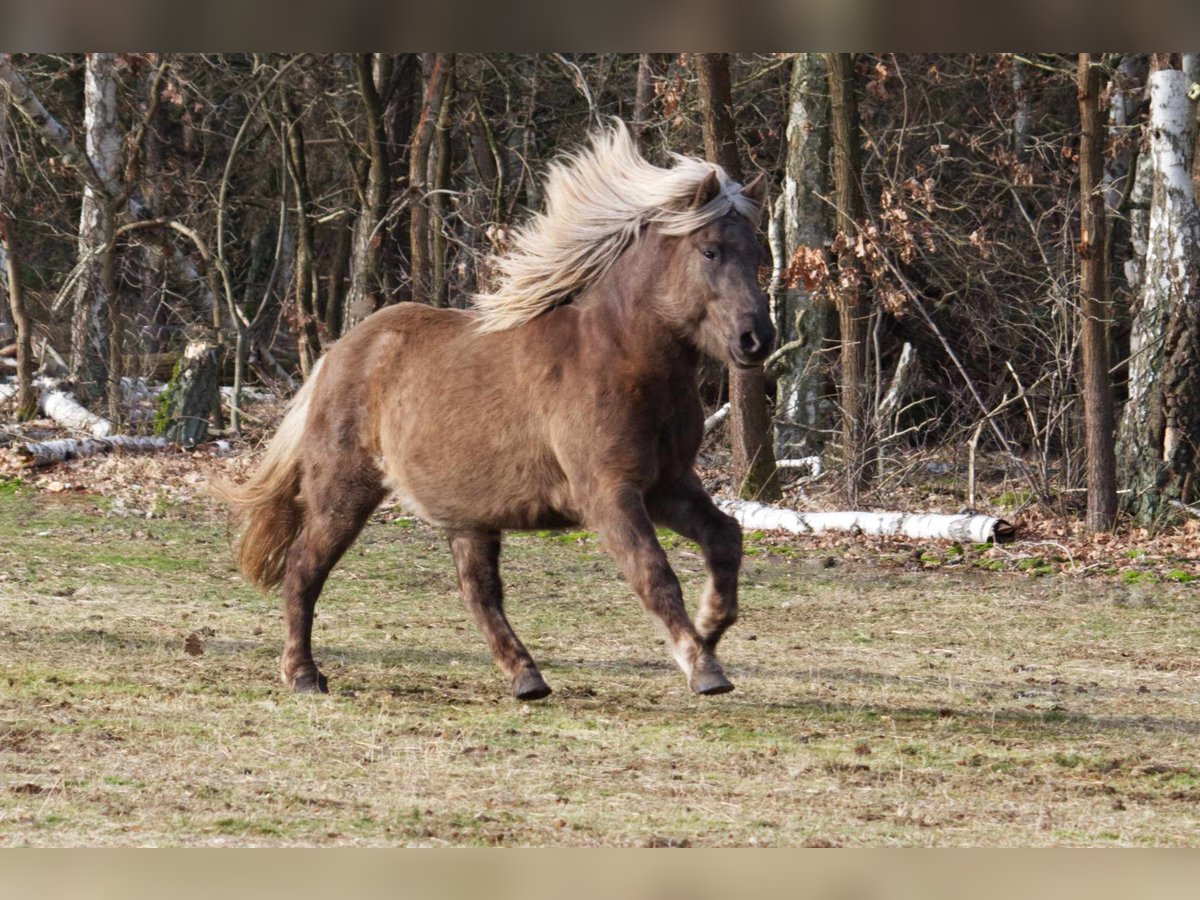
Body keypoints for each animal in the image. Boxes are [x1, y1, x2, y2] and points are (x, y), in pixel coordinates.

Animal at [213, 123, 777, 705]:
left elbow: (725, 537)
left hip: (468, 518)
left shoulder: (668, 485)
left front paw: (709, 629)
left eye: (757, 251)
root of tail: (338, 353)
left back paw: (526, 678)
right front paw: (703, 666)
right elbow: (654, 574)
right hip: (344, 494)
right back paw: (304, 674)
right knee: (304, 568)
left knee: (478, 594)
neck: (622, 356)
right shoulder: (610, 494)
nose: (756, 339)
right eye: (710, 250)